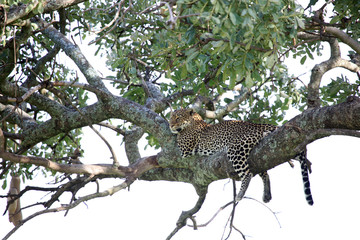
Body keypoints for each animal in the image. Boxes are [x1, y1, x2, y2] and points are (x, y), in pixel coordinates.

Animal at [169, 108, 312, 204]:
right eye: (171, 117)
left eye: (178, 118)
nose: (170, 125)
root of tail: (260, 125)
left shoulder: (184, 150)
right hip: (258, 155)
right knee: (265, 172)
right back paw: (267, 194)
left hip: (236, 149)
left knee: (248, 174)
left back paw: (240, 194)